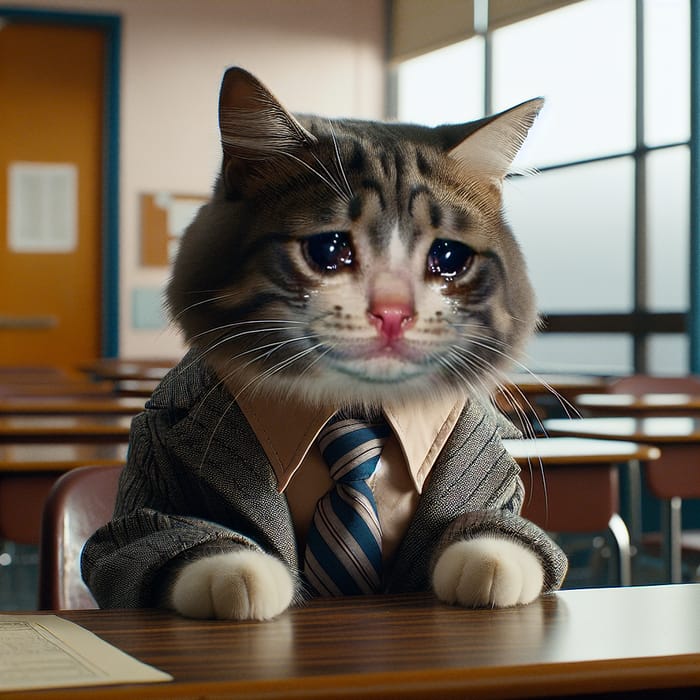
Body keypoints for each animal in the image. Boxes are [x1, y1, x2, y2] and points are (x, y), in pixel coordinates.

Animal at [79, 68, 568, 620]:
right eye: (329, 250)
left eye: (447, 257)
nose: (393, 313)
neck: (354, 406)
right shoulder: (150, 485)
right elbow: (161, 538)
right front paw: (241, 575)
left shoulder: (495, 482)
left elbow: (497, 528)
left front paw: (491, 563)